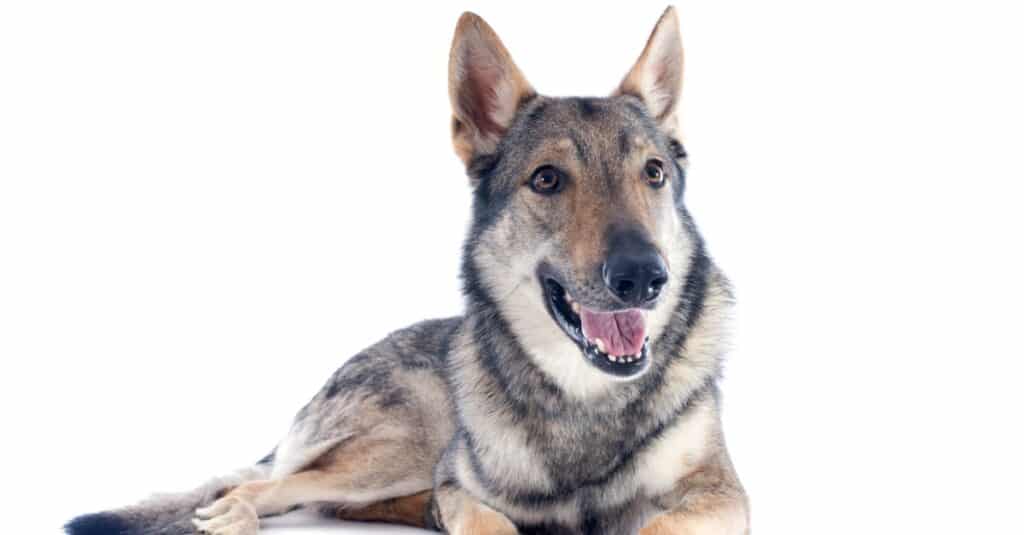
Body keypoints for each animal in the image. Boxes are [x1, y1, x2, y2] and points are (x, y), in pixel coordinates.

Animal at [66, 7, 753, 532]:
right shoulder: (461, 486)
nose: (642, 275)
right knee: (273, 487)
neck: (584, 400)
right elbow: (485, 517)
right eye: (548, 179)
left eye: (653, 174)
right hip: (408, 442)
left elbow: (657, 522)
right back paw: (235, 515)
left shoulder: (722, 495)